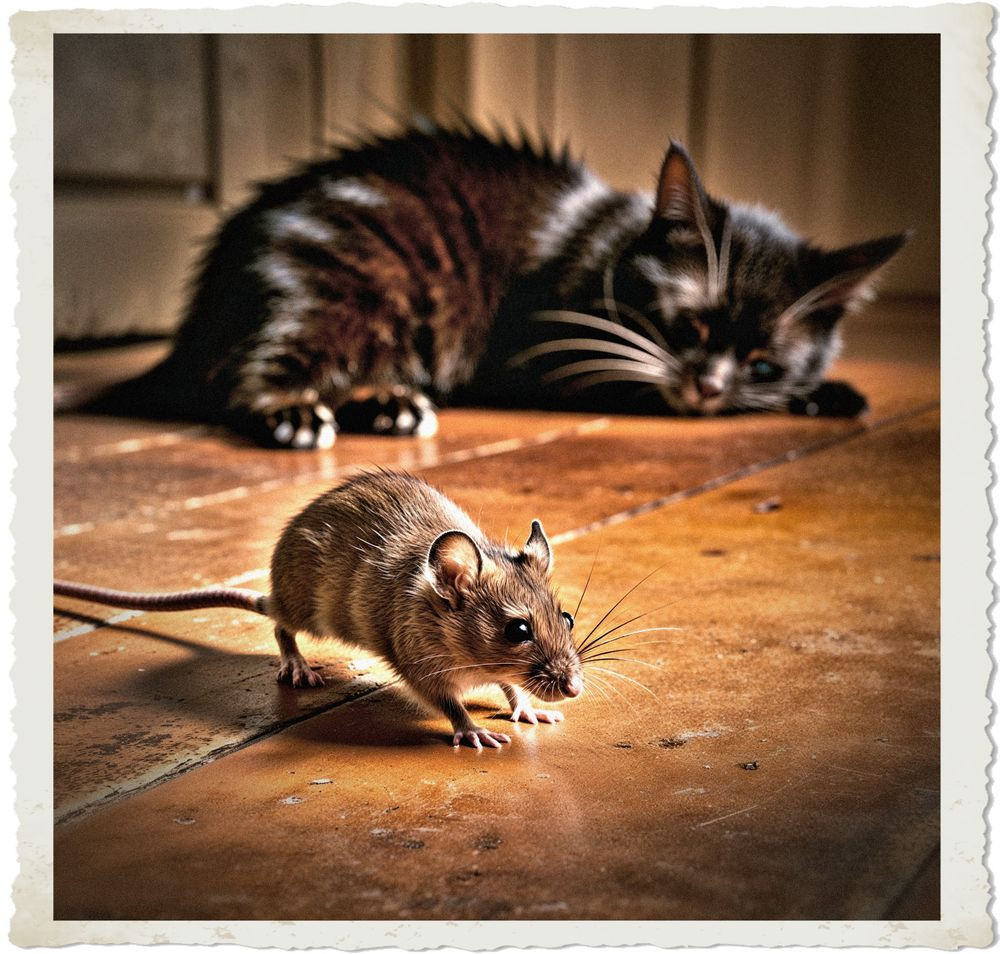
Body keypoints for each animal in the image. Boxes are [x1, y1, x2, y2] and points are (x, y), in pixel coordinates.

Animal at [74, 121, 912, 448]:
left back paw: (389, 404)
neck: (603, 243)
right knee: (243, 374)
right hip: (336, 284)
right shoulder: (558, 353)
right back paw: (296, 412)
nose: (707, 388)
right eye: (688, 327)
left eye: (764, 361)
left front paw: (829, 391)